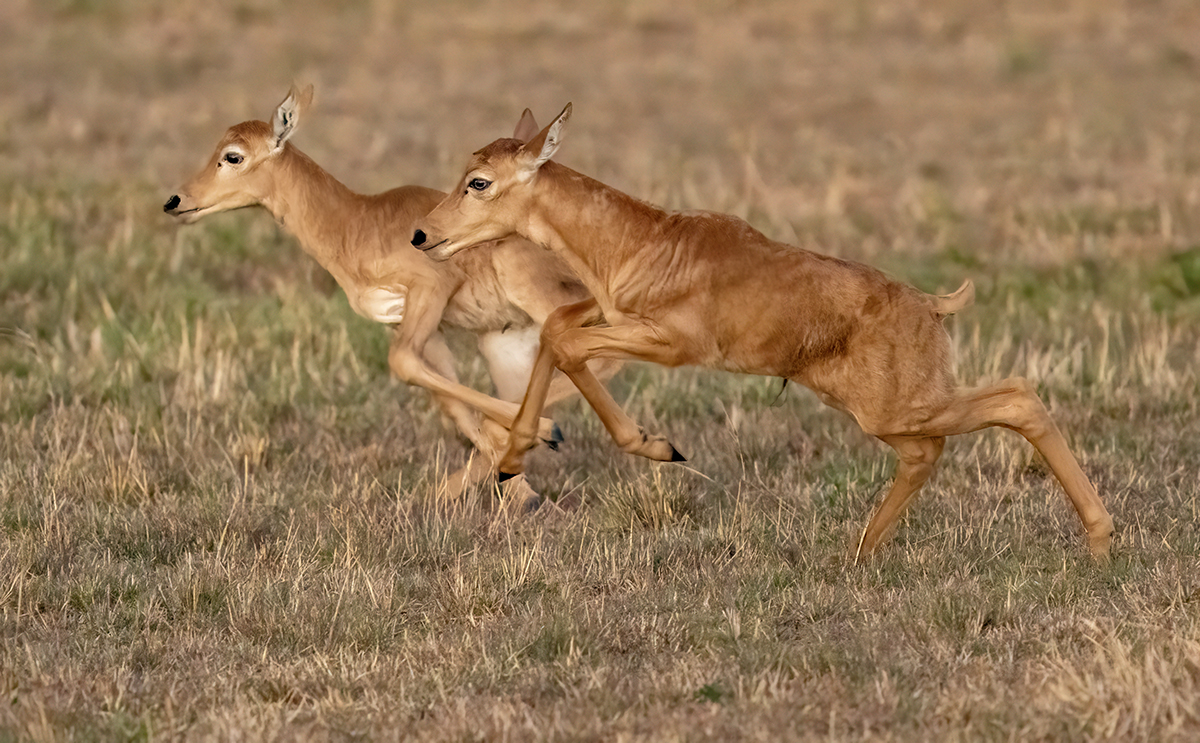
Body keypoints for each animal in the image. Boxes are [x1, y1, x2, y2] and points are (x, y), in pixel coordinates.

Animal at [163, 87, 614, 492]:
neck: (359, 220)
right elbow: (446, 396)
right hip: (502, 343)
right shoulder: (414, 325)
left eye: (233, 155)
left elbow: (402, 364)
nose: (175, 201)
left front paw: (542, 439)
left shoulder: (430, 291)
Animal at [412, 104, 1113, 556]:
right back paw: (859, 552)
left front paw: (654, 446)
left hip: (898, 406)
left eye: (479, 181)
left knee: (1016, 399)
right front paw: (512, 463)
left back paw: (1100, 540)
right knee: (928, 451)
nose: (423, 234)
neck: (647, 239)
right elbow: (559, 328)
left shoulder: (674, 345)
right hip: (875, 409)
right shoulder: (608, 314)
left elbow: (564, 342)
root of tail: (930, 305)